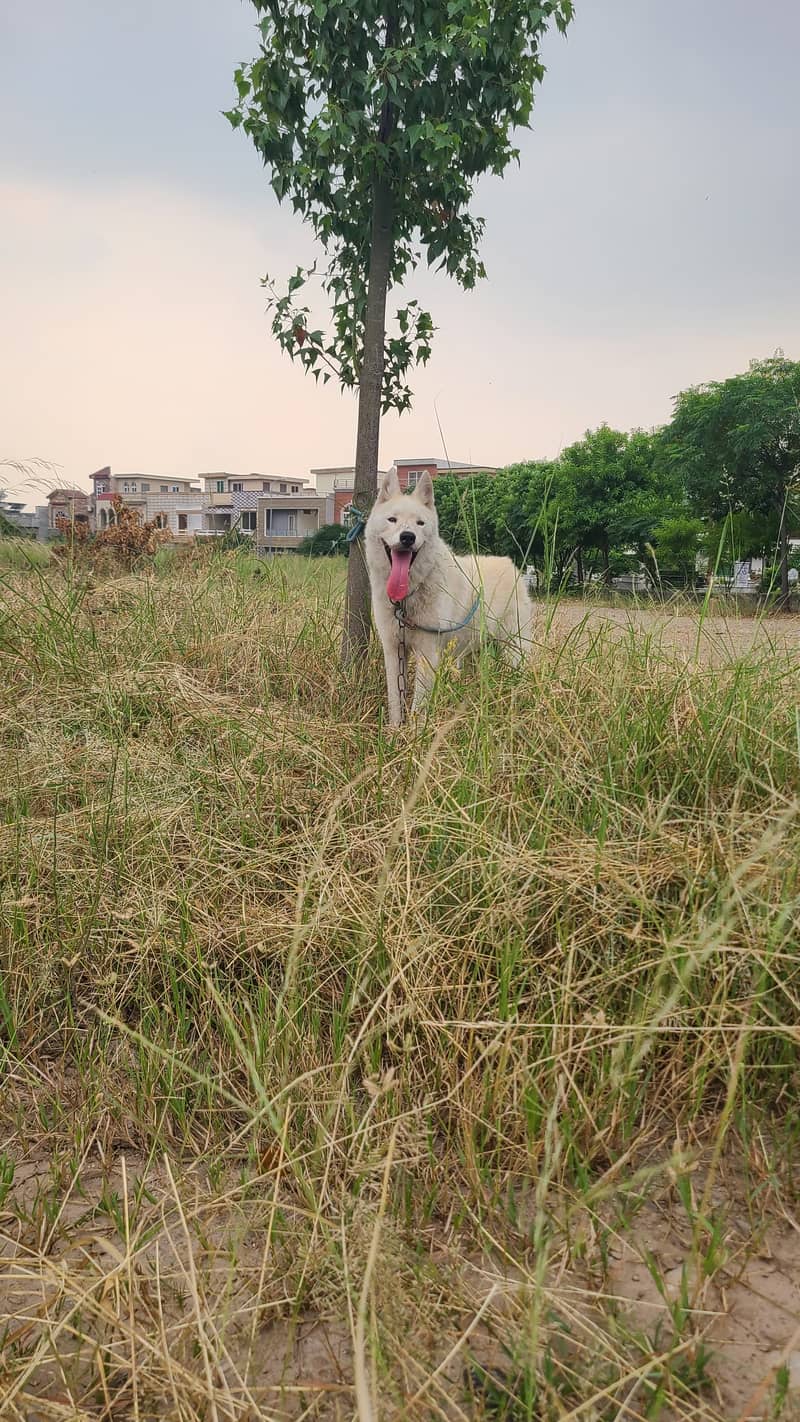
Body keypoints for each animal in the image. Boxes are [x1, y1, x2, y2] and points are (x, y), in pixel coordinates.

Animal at [366, 472, 534, 728]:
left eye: (420, 523)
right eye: (392, 520)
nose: (407, 537)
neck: (408, 598)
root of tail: (511, 566)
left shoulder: (428, 653)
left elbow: (418, 705)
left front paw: (416, 734)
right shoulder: (394, 649)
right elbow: (395, 700)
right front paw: (394, 731)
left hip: (513, 649)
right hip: (472, 654)